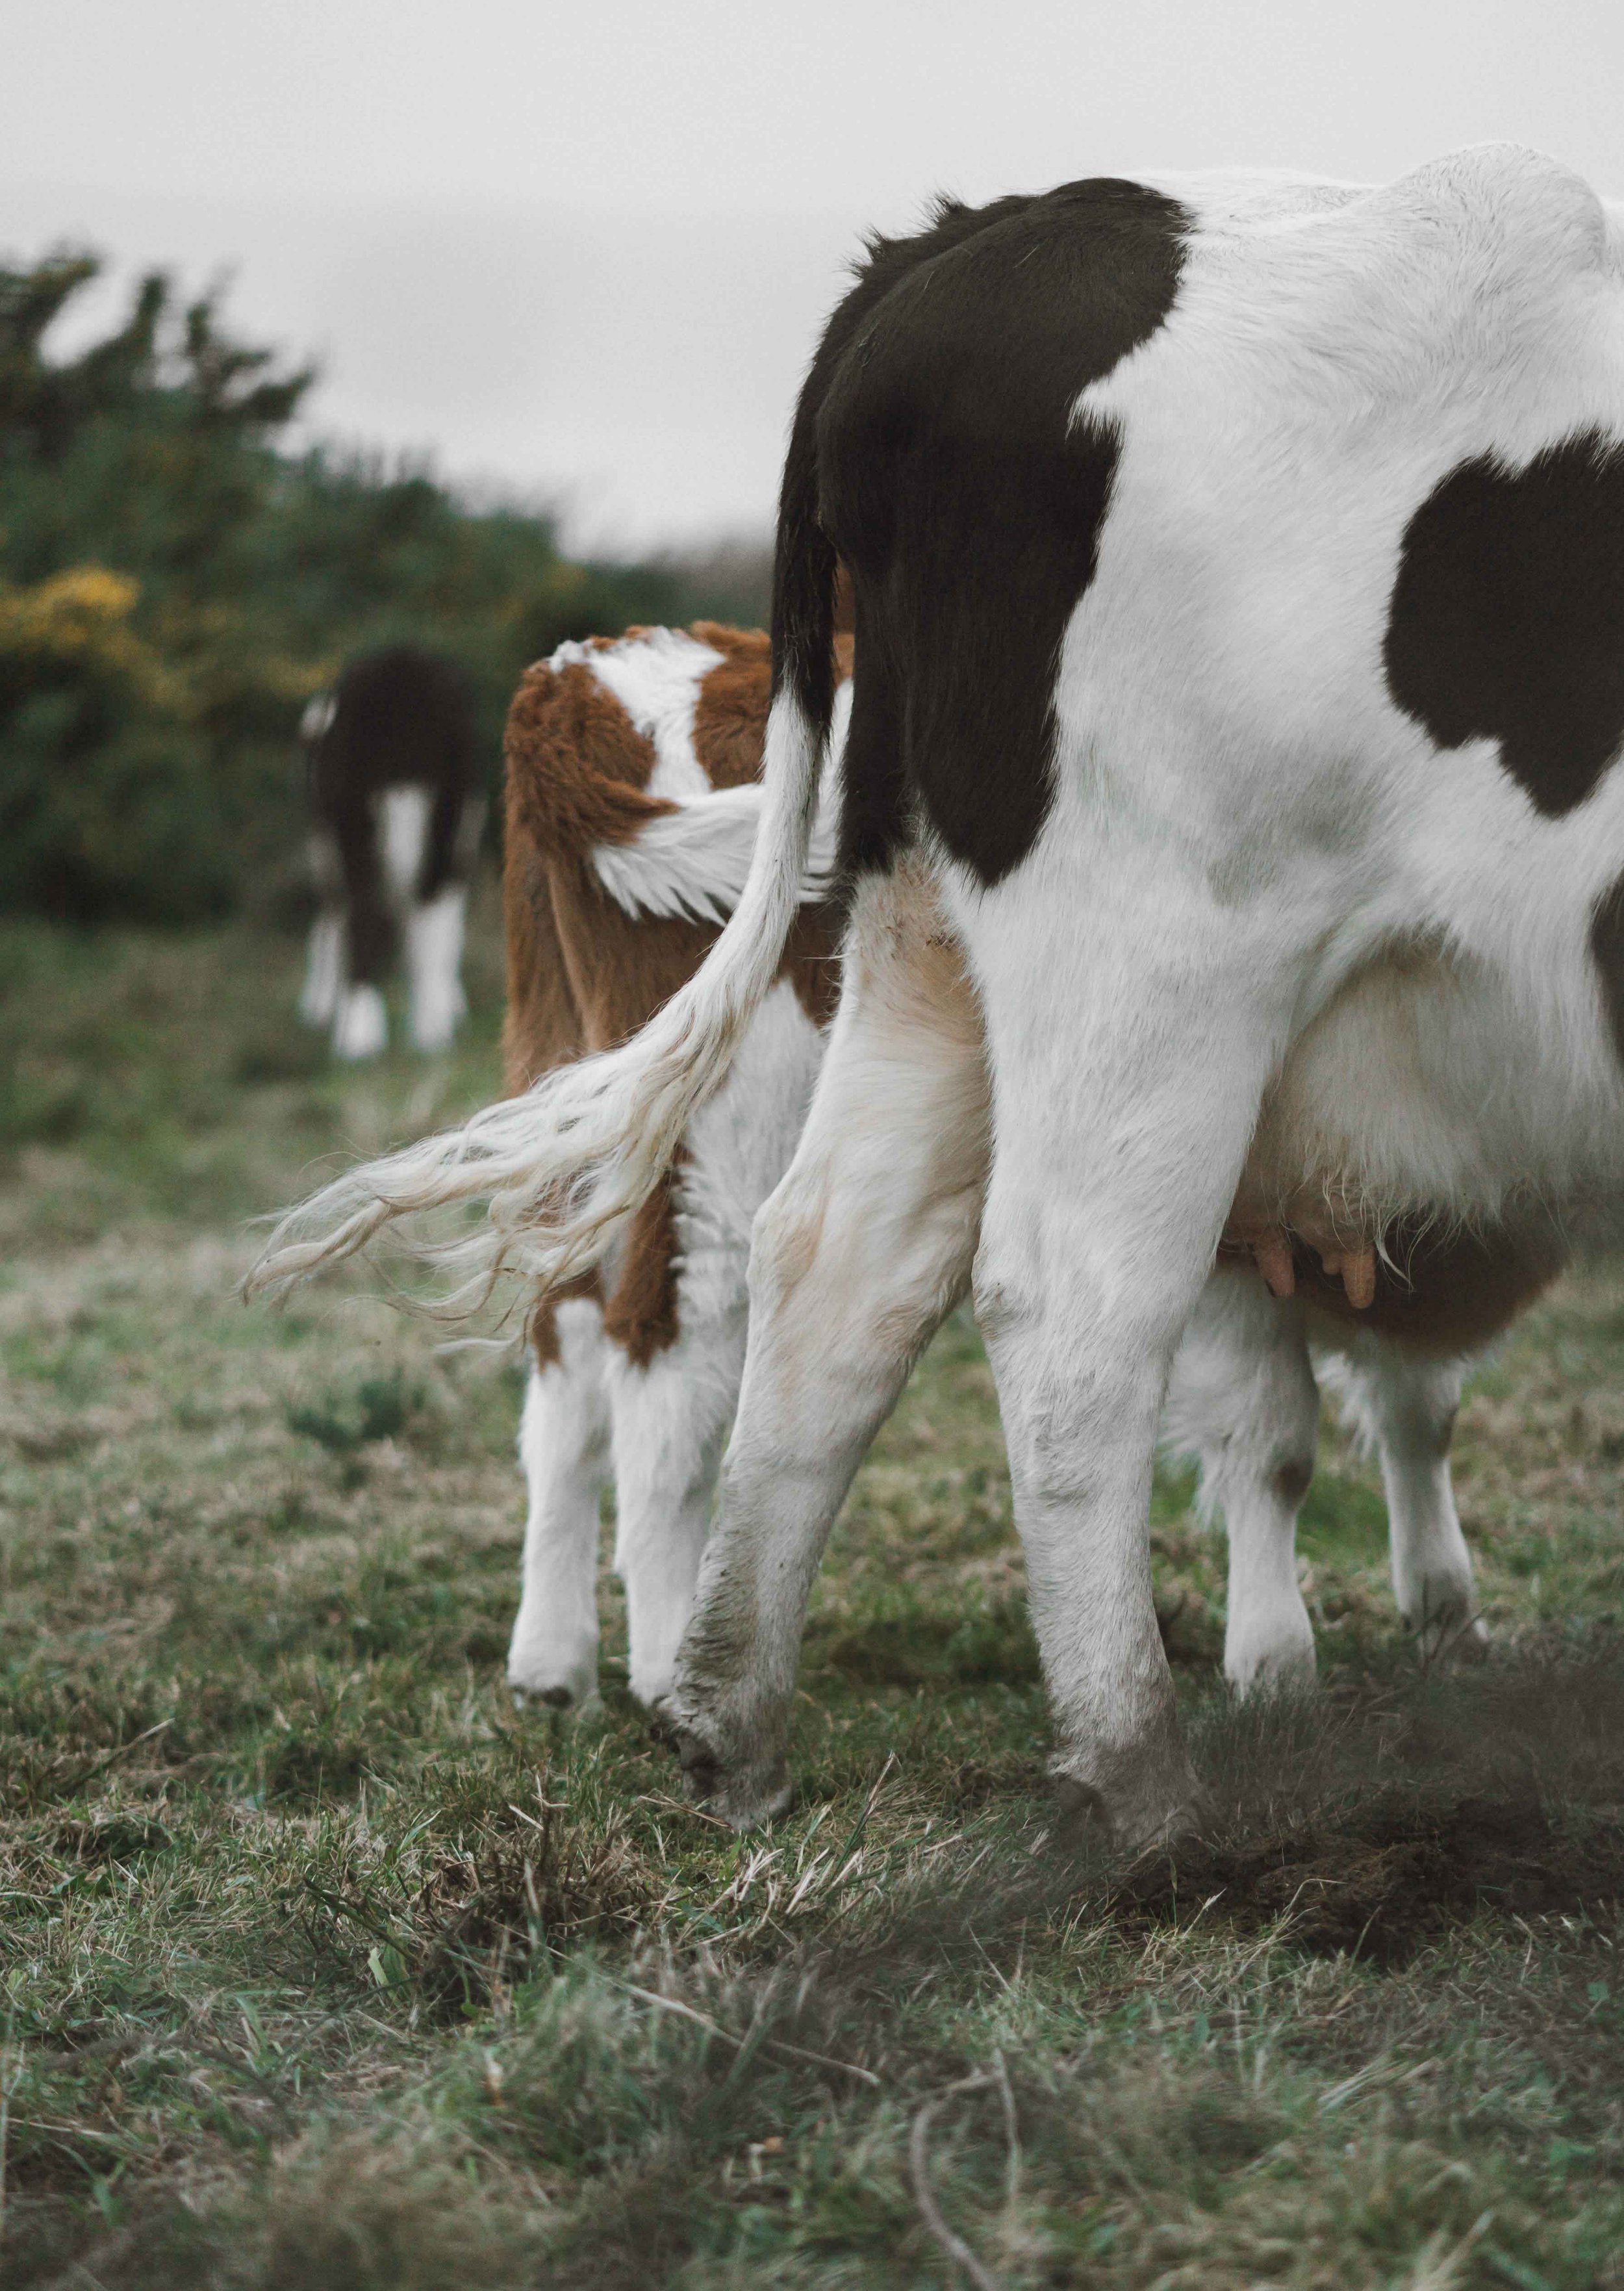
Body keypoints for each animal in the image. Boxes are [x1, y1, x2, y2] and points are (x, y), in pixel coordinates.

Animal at [299, 644, 483, 1059]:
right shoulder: (352, 833)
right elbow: (363, 916)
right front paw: (359, 1035)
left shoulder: (445, 837)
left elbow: (432, 929)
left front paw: (432, 1031)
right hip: (327, 844)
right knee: (336, 913)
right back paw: (323, 1004)